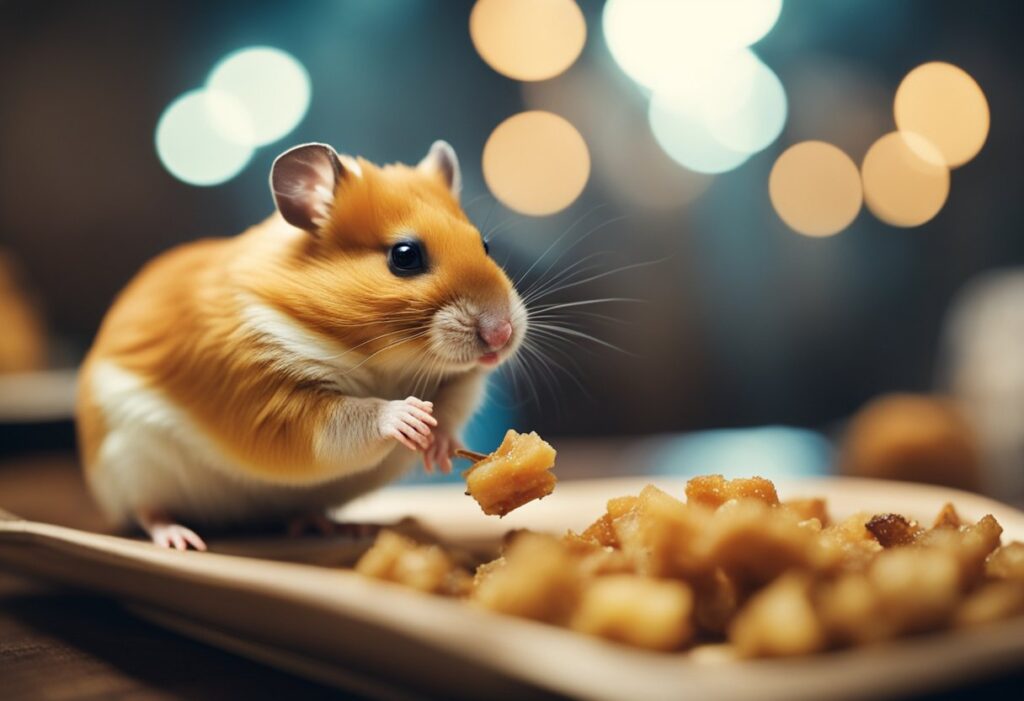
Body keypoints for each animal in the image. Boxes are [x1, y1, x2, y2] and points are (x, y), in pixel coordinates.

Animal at [76, 141, 526, 550]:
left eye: (485, 245)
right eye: (405, 256)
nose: (502, 335)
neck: (384, 359)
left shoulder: (461, 382)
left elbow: (451, 405)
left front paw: (437, 450)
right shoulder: (266, 400)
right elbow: (352, 418)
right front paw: (410, 418)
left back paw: (334, 526)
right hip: (131, 468)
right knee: (147, 510)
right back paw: (180, 539)